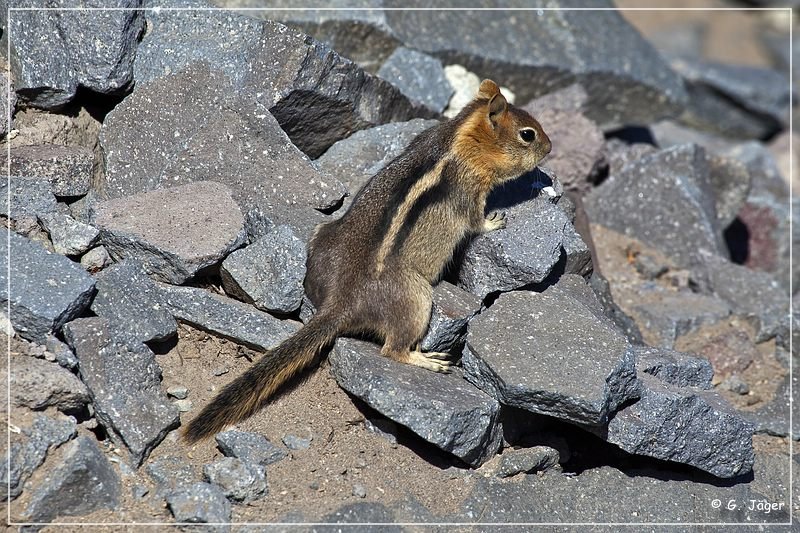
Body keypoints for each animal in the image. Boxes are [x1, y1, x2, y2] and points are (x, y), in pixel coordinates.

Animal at [187, 77, 552, 438]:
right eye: (528, 134)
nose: (550, 148)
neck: (462, 135)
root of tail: (342, 302)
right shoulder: (471, 191)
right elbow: (475, 222)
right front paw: (496, 221)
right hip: (416, 297)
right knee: (392, 350)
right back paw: (428, 360)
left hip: (323, 235)